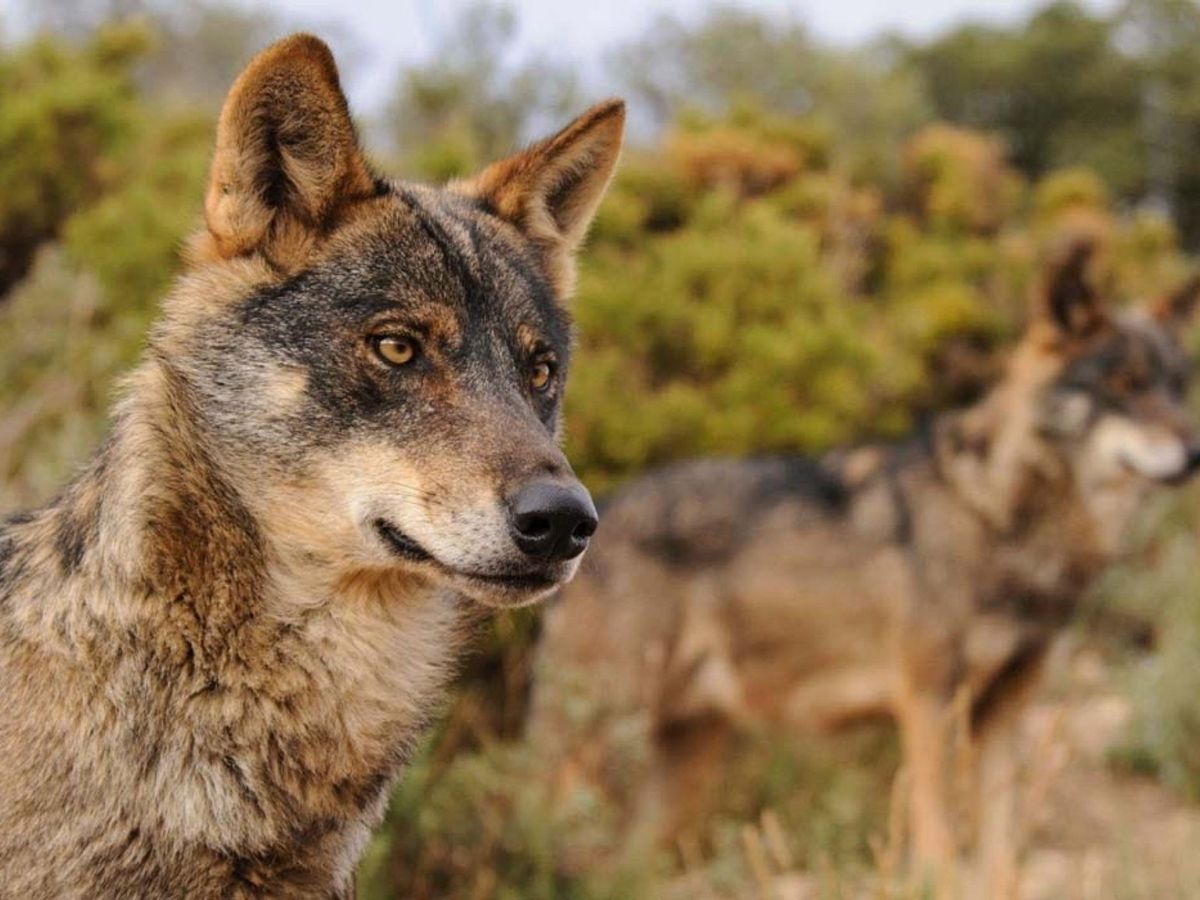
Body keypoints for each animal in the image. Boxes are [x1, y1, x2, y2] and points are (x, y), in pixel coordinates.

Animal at [530, 243, 1200, 896]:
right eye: (1124, 384)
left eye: (1175, 387)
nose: (1194, 454)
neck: (999, 514)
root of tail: (597, 514)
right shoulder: (929, 702)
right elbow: (939, 843)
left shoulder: (1006, 712)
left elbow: (1002, 856)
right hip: (596, 744)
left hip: (681, 764)